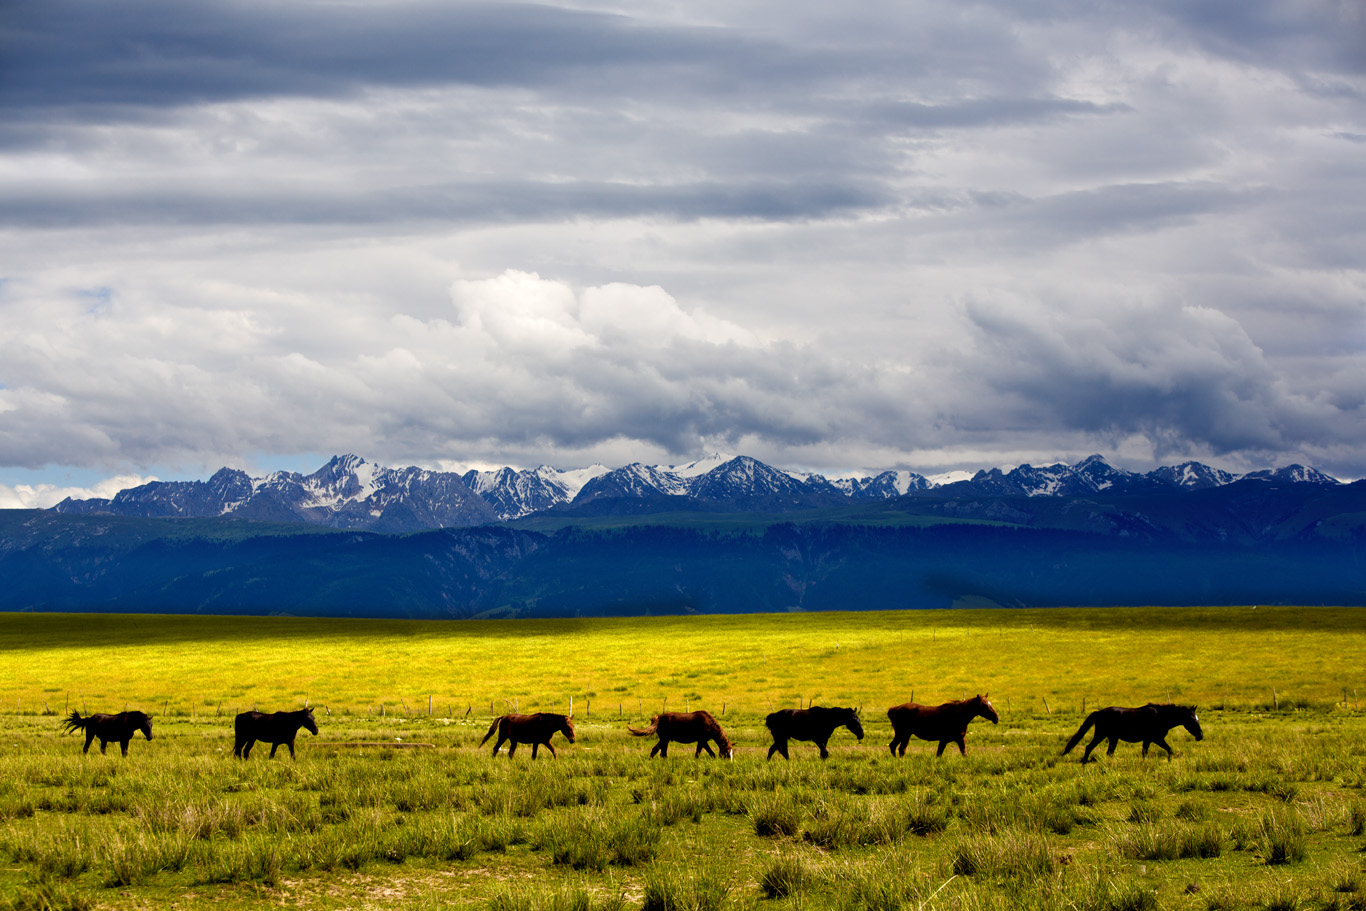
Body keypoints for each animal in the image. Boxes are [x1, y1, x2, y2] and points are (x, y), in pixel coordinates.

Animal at [1060, 704, 1202, 764]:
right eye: (1192, 719)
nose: (1201, 735)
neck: (1161, 716)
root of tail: (1099, 712)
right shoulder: (1155, 738)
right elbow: (1170, 749)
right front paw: (1169, 762)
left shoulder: (1148, 740)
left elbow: (1145, 753)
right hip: (1100, 735)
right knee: (1089, 747)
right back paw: (1084, 763)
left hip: (1113, 738)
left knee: (1109, 753)